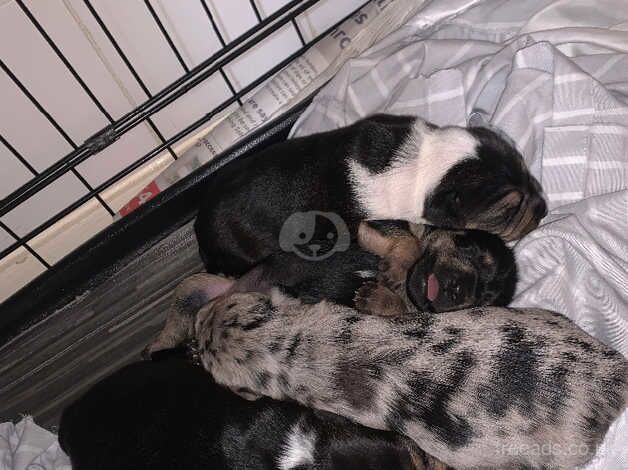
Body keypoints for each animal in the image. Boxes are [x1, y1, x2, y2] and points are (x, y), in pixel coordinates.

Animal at [195, 114, 544, 276]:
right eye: (507, 210)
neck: (425, 161)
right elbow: (405, 240)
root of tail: (200, 231)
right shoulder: (370, 219)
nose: (543, 209)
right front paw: (395, 268)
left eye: (529, 172)